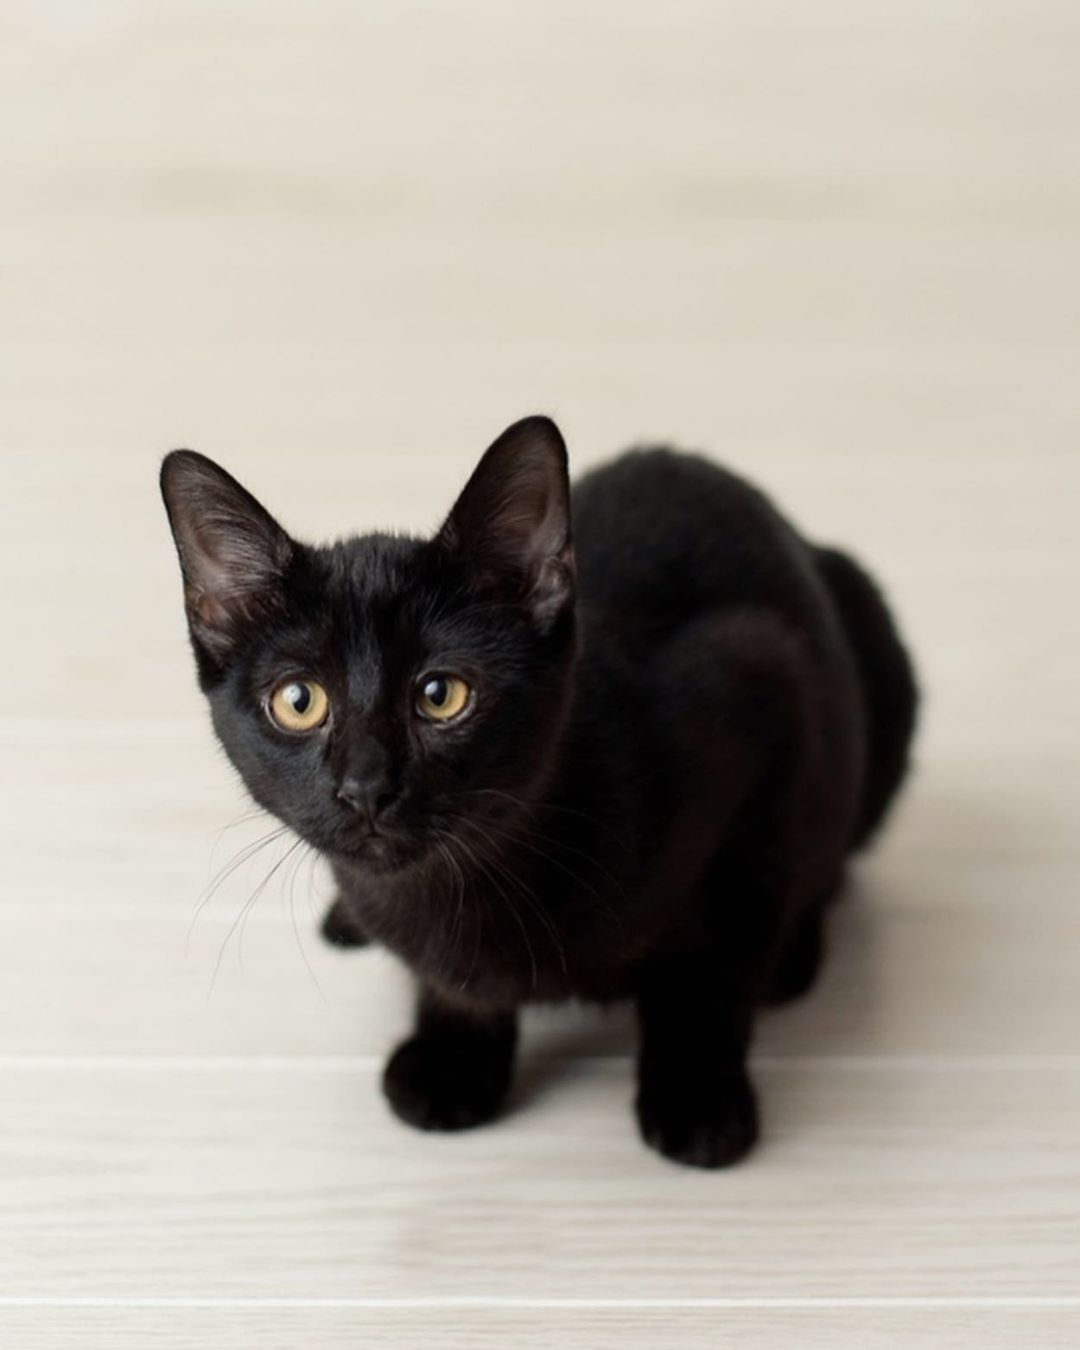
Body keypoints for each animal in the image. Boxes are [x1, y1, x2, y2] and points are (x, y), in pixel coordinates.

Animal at [162, 418, 918, 1171]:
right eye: (298, 701)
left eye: (441, 695)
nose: (365, 787)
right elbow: (452, 983)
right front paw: (455, 1056)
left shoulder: (766, 692)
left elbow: (715, 967)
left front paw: (697, 1097)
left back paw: (792, 959)